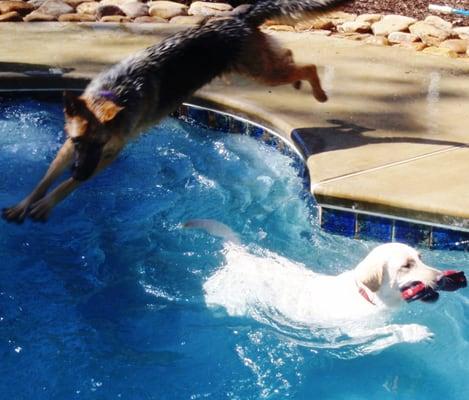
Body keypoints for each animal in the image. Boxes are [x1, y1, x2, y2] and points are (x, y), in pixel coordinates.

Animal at [2, 0, 348, 222]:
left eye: (99, 145)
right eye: (78, 143)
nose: (80, 172)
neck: (114, 92)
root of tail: (236, 15)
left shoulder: (109, 154)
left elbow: (64, 186)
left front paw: (47, 204)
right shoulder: (68, 148)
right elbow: (46, 178)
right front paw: (25, 203)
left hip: (260, 72)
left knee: (306, 66)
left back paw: (318, 92)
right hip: (258, 68)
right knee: (289, 56)